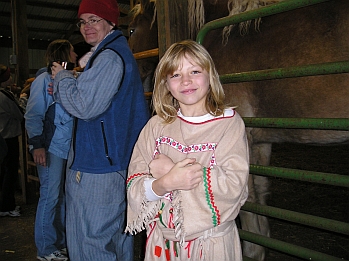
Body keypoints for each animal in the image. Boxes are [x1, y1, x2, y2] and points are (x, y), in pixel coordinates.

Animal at [127, 1, 348, 258]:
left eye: (131, 30)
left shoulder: (245, 138)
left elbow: (248, 197)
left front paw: (253, 249)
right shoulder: (262, 141)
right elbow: (261, 191)